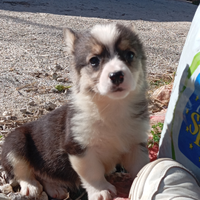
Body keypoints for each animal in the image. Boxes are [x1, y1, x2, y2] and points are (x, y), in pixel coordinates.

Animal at [1, 23, 148, 200]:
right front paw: (100, 191)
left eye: (130, 55)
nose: (117, 75)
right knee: (22, 172)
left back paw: (56, 189)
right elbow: (93, 173)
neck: (111, 106)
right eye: (94, 60)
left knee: (46, 176)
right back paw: (31, 186)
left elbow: (141, 167)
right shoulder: (79, 148)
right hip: (15, 144)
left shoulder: (136, 145)